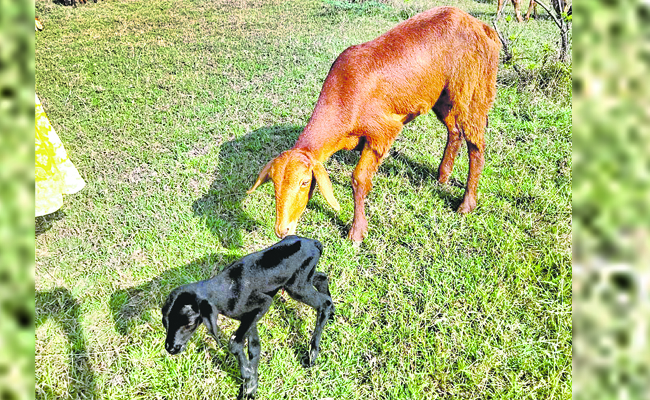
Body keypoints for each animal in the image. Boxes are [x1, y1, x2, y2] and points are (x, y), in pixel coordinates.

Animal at [247, 7, 501, 242]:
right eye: (273, 184)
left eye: (304, 182)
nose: (282, 230)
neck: (344, 95)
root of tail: (481, 26)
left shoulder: (382, 131)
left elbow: (359, 180)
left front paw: (357, 232)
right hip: (442, 95)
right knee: (454, 131)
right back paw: (442, 177)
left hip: (473, 89)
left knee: (476, 144)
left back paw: (466, 204)